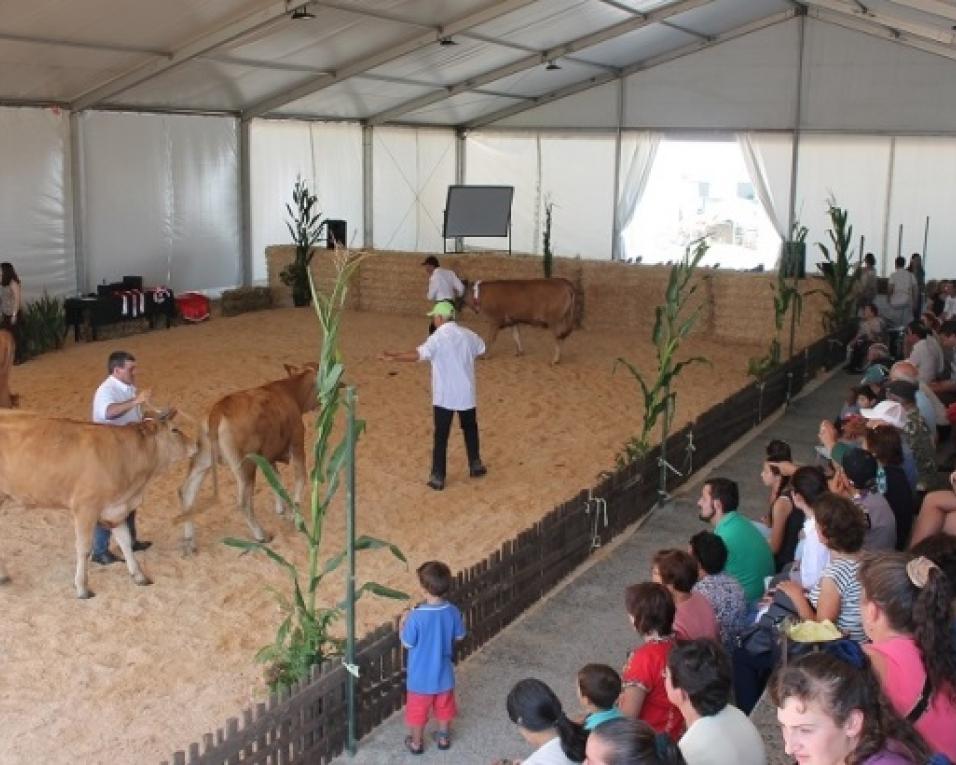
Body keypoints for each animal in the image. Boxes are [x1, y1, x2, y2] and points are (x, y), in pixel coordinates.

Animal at [0, 412, 194, 596]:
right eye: (174, 429)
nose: (195, 445)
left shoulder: (114, 508)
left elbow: (125, 541)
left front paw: (139, 576)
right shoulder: (85, 508)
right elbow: (84, 548)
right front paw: (82, 588)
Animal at [181, 364, 324, 548]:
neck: (290, 392)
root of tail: (218, 409)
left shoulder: (268, 457)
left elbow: (276, 481)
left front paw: (281, 509)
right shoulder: (297, 442)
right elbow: (301, 477)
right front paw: (295, 515)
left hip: (203, 459)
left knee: (187, 490)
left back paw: (189, 539)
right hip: (246, 465)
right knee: (244, 503)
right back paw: (261, 535)